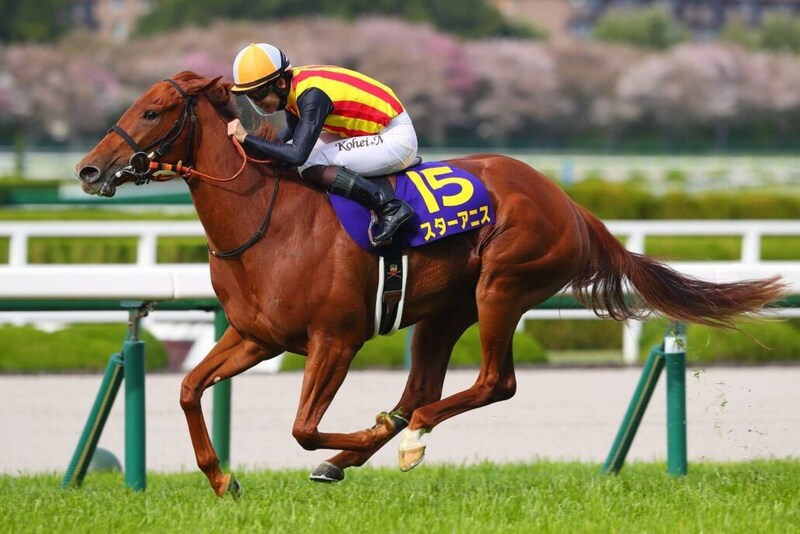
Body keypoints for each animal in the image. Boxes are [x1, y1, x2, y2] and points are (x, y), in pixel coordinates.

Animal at [76, 72, 786, 497]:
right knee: (423, 387)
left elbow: (305, 426)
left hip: (503, 286)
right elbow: (189, 388)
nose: (88, 169)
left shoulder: (337, 338)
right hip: (444, 310)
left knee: (492, 383)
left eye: (154, 110)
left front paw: (357, 439)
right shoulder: (257, 336)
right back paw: (379, 440)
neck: (263, 219)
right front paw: (223, 480)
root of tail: (568, 203)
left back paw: (407, 436)